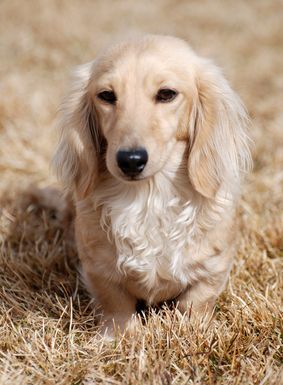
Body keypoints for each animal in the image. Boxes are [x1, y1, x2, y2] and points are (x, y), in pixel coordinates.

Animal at [53, 35, 253, 336]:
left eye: (167, 94)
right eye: (106, 95)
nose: (130, 160)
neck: (149, 197)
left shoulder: (214, 267)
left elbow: (196, 301)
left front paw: (192, 330)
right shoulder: (99, 270)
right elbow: (116, 304)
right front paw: (120, 336)